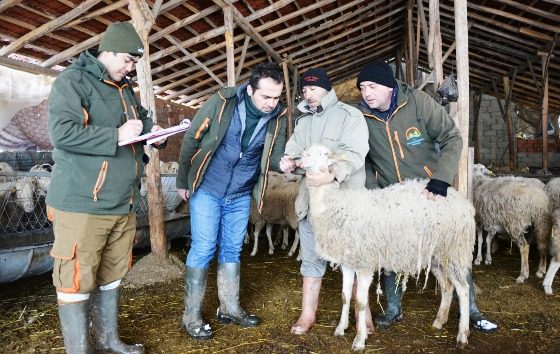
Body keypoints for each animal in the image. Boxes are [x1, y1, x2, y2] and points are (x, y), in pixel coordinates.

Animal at [300, 144, 474, 352]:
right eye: (307, 149)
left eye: (325, 153)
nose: (302, 158)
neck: (336, 205)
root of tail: (463, 201)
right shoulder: (348, 261)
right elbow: (345, 296)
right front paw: (341, 328)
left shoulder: (365, 263)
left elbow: (360, 302)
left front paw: (360, 339)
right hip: (436, 255)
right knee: (447, 286)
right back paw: (439, 321)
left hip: (454, 250)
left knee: (463, 289)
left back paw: (462, 335)